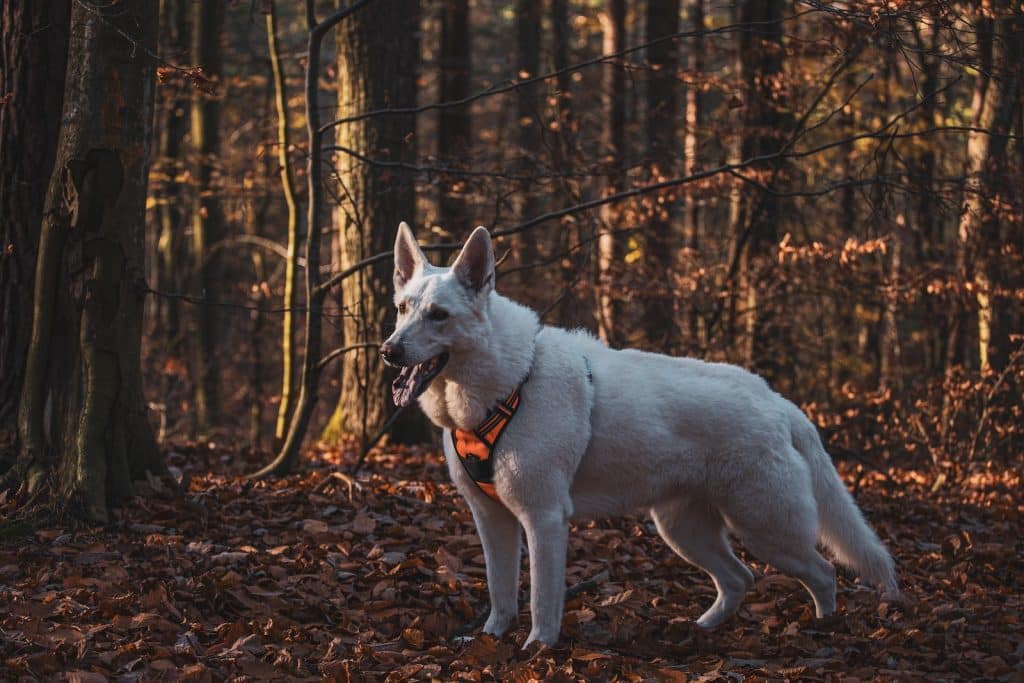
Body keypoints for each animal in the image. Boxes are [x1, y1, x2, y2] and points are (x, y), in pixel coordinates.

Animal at [382, 223, 897, 647]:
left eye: (439, 315)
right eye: (403, 309)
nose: (389, 351)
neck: (508, 384)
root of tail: (778, 403)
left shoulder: (544, 519)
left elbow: (541, 600)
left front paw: (537, 649)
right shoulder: (492, 519)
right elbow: (501, 592)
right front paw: (491, 638)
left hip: (766, 527)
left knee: (823, 572)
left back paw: (824, 627)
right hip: (684, 530)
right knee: (740, 578)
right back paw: (704, 628)